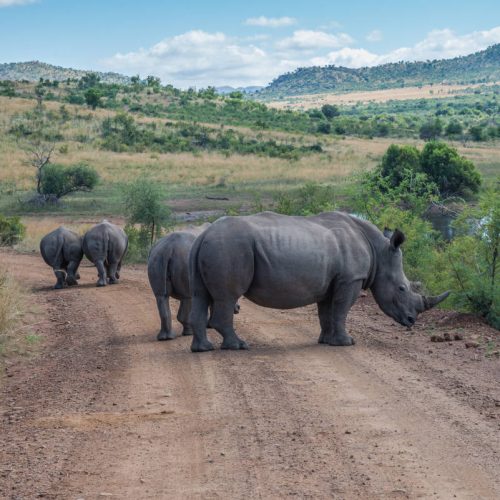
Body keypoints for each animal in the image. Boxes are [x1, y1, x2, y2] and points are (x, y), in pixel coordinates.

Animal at [188, 211, 450, 352]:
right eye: (402, 288)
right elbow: (341, 310)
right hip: (230, 248)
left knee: (200, 296)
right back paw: (239, 346)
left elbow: (326, 312)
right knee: (227, 296)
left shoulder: (331, 282)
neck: (379, 252)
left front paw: (326, 341)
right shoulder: (350, 279)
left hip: (213, 248)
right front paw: (346, 343)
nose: (411, 321)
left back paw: (203, 349)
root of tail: (204, 234)